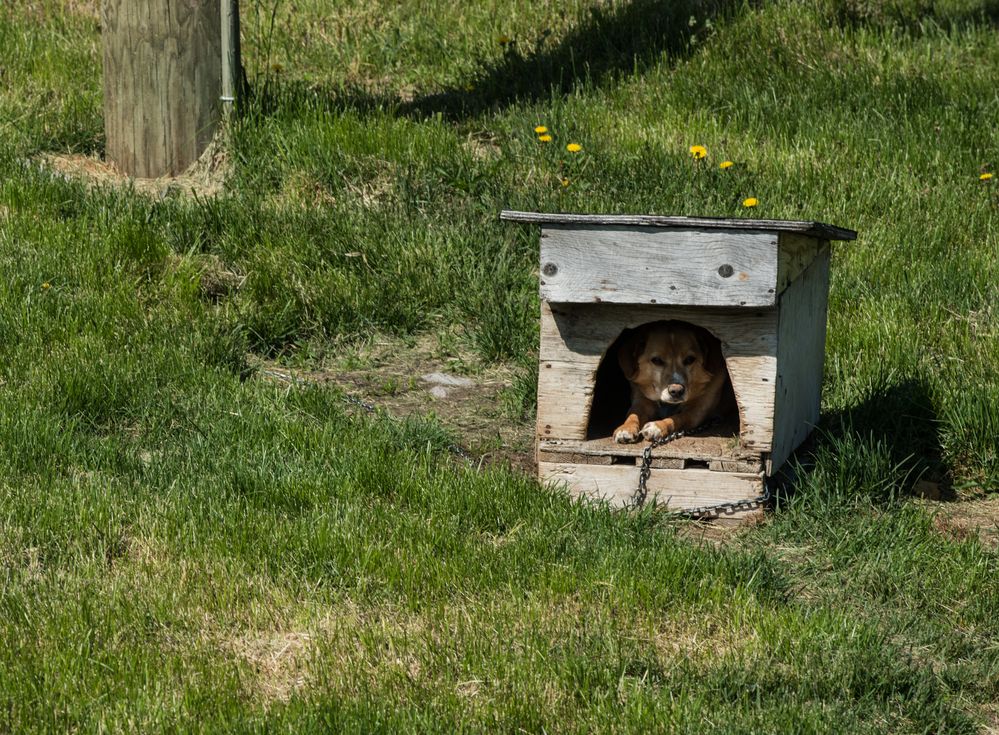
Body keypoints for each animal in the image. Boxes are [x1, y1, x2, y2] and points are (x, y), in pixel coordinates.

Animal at [608, 320, 736, 442]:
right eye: (657, 360)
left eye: (690, 359)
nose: (677, 391)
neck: (668, 404)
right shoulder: (641, 401)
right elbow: (633, 415)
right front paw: (625, 428)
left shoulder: (696, 412)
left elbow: (677, 418)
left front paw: (658, 427)